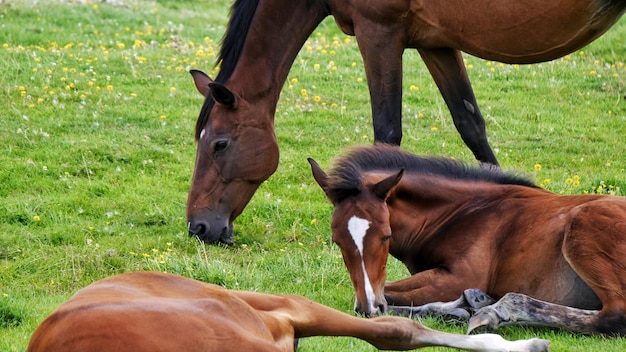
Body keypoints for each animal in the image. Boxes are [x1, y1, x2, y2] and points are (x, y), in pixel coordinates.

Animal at [185, 0, 624, 242]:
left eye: (219, 144)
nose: (197, 227)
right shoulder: (438, 43)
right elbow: (470, 123)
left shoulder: (379, 33)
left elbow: (387, 132)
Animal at [310, 144, 624, 336]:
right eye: (337, 241)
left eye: (386, 236)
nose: (368, 307)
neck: (465, 210)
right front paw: (464, 305)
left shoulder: (459, 277)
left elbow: (389, 291)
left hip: (583, 230)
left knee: (614, 314)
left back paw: (496, 311)